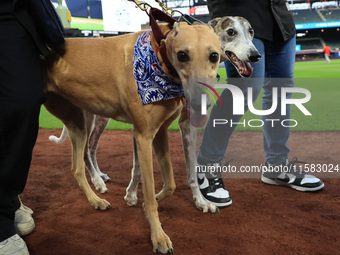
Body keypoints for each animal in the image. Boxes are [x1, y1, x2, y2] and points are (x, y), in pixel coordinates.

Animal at [43, 20, 220, 254]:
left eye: (214, 56)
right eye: (182, 55)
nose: (201, 104)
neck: (158, 55)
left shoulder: (160, 132)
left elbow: (170, 184)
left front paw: (149, 200)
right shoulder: (144, 136)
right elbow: (149, 188)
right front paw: (158, 236)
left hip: (77, 122)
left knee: (77, 167)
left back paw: (96, 200)